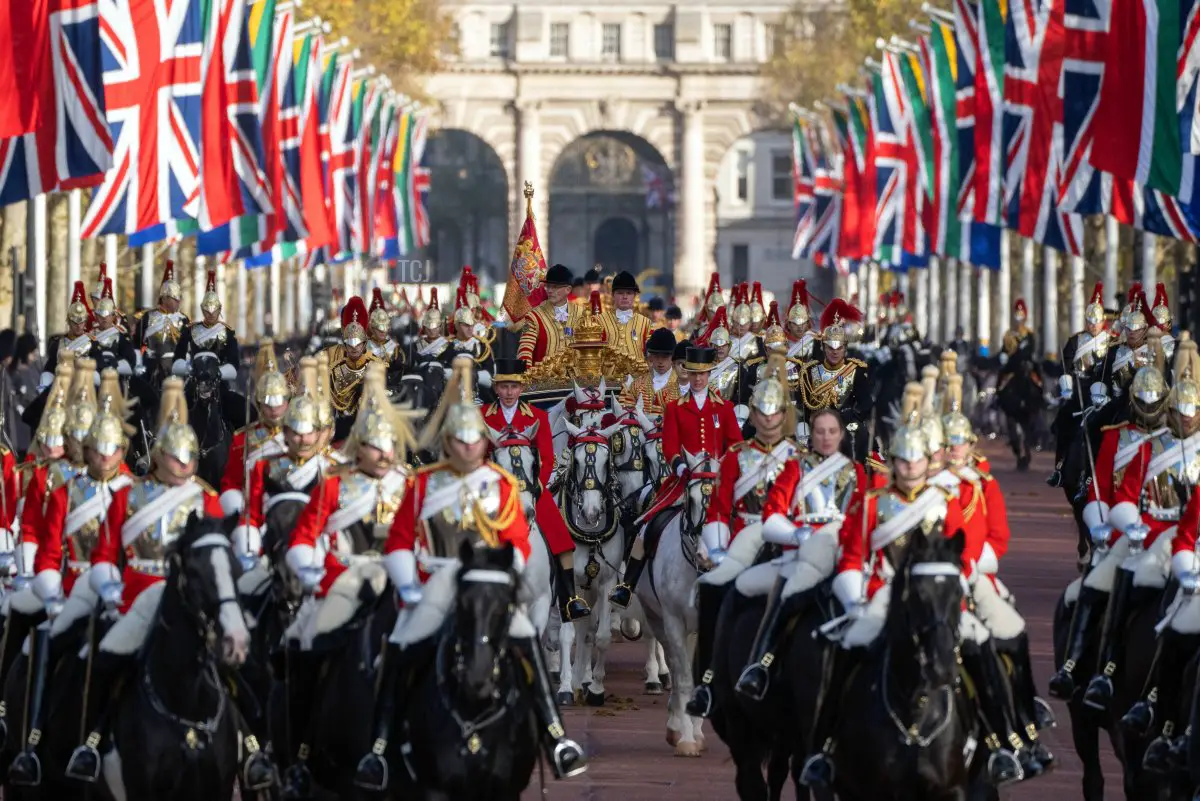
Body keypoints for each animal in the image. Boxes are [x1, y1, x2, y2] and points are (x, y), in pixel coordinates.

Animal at [633, 450, 715, 757]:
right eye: (690, 500)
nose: (706, 556)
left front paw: (697, 731)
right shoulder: (673, 621)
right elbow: (683, 677)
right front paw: (687, 739)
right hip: (657, 618)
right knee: (671, 660)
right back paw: (675, 724)